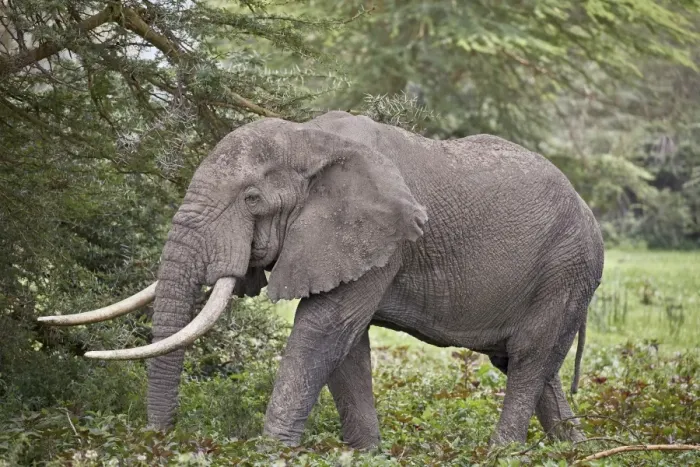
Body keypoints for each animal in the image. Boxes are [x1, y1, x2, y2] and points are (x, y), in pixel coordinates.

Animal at [39, 110, 604, 449]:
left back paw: (502, 452)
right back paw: (573, 449)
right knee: (527, 362)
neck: (307, 137)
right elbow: (346, 344)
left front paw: (269, 452)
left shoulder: (385, 237)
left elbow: (323, 329)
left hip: (567, 267)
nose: (157, 441)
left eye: (251, 199)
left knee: (529, 356)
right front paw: (367, 453)